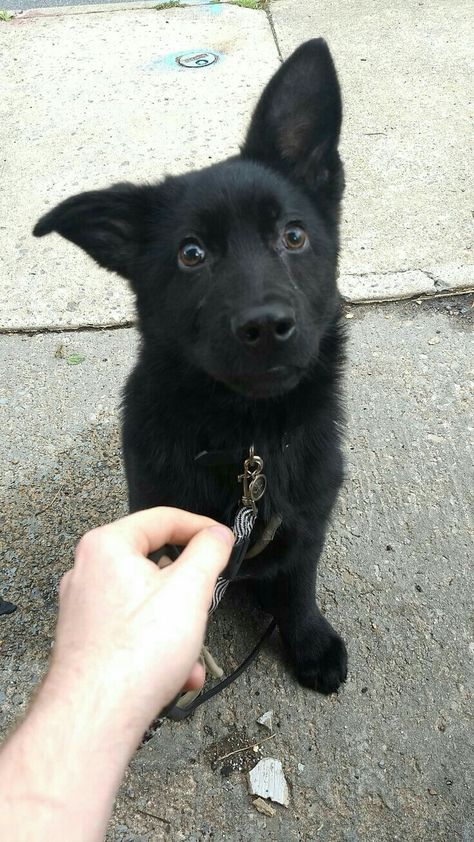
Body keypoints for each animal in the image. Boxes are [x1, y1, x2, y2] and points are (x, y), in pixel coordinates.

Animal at [34, 39, 348, 692]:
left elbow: (300, 585)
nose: (266, 326)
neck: (250, 439)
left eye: (294, 236)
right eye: (192, 254)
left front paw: (307, 639)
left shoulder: (308, 520)